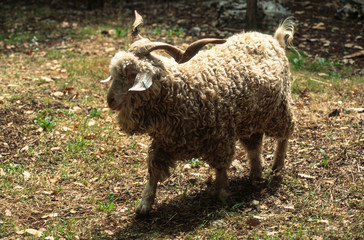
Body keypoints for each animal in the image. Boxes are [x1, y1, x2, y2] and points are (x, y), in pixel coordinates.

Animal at [104, 10, 296, 214]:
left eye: (132, 74)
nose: (110, 100)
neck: (181, 89)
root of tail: (273, 40)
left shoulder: (220, 137)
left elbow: (221, 167)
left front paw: (221, 194)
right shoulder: (164, 141)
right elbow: (154, 169)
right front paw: (145, 204)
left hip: (279, 108)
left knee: (284, 136)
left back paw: (277, 168)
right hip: (250, 118)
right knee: (254, 146)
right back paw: (256, 174)